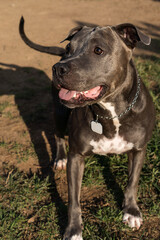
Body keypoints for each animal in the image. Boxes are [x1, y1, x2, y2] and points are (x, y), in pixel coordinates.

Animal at [19, 15, 155, 239]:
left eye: (98, 50)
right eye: (69, 47)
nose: (58, 68)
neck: (110, 112)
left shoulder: (139, 150)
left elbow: (132, 182)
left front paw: (131, 211)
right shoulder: (77, 156)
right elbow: (74, 200)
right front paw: (73, 230)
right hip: (60, 113)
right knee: (58, 135)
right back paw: (60, 159)